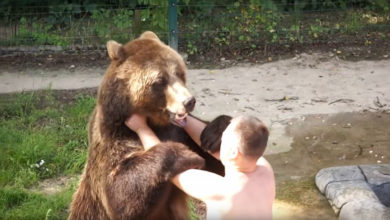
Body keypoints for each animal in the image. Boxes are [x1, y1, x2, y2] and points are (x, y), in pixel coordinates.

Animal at [68, 31, 224, 220]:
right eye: (160, 80)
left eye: (179, 72)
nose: (189, 101)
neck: (154, 122)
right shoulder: (114, 136)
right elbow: (119, 194)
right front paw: (184, 153)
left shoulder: (179, 132)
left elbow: (217, 168)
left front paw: (215, 133)